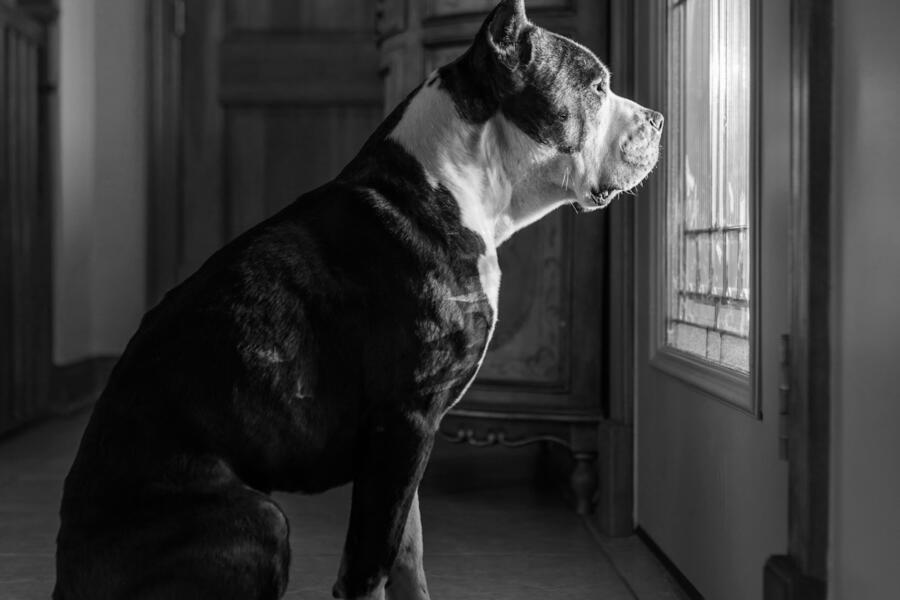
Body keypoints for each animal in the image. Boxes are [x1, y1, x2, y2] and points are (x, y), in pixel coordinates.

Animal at [54, 2, 660, 596]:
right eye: (597, 87)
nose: (657, 120)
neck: (449, 184)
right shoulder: (405, 421)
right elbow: (369, 564)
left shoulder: (402, 448)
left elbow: (408, 551)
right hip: (260, 518)